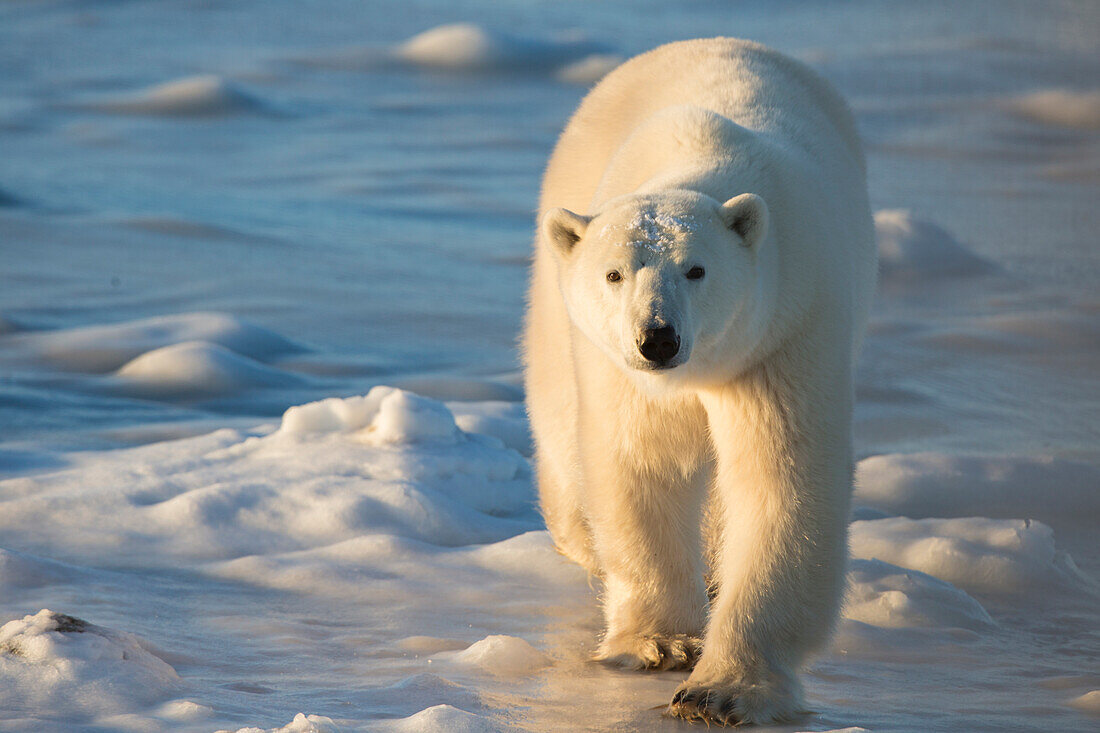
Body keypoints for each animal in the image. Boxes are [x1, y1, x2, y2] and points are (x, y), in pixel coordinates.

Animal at [523, 37, 875, 721]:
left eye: (696, 269)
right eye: (614, 274)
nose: (658, 339)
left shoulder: (785, 331)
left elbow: (779, 479)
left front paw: (725, 690)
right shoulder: (625, 374)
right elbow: (642, 462)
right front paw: (659, 643)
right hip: (557, 302)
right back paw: (580, 537)